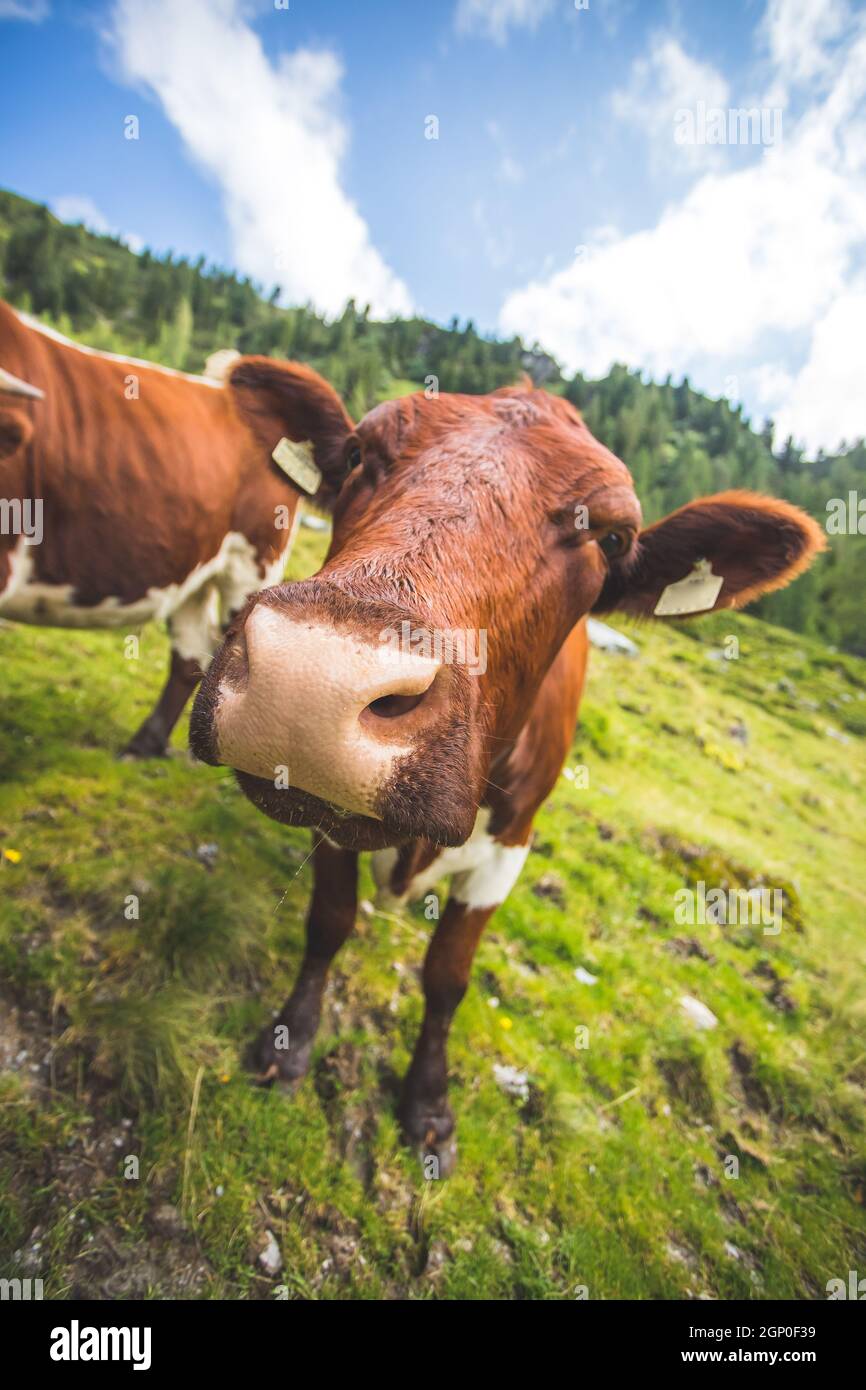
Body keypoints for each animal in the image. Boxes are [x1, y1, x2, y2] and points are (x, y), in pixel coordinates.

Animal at [189, 372, 825, 1174]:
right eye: (360, 452)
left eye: (611, 536)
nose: (310, 680)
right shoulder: (331, 818)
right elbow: (329, 924)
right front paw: (291, 1044)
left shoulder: (510, 848)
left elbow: (447, 978)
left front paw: (428, 1106)